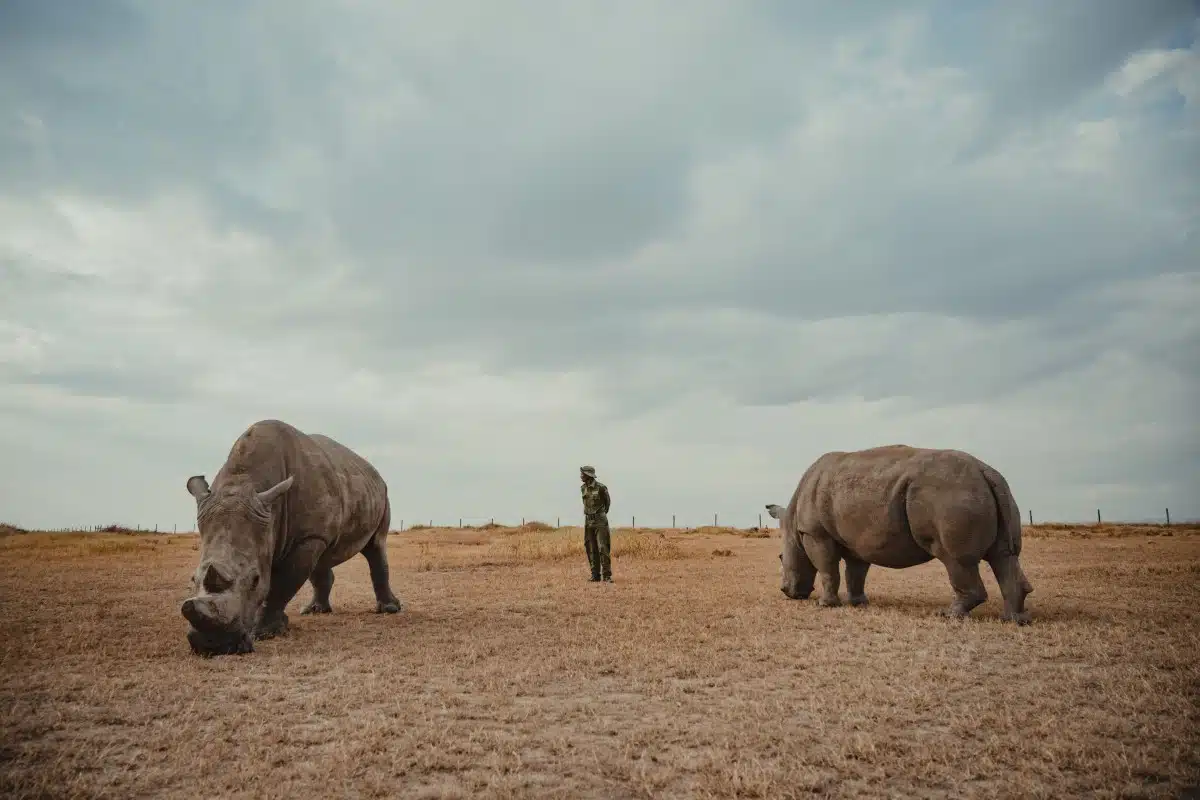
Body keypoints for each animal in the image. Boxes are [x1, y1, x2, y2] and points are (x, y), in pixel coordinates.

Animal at [180, 419, 400, 657]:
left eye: (255, 580)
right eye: (193, 579)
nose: (214, 646)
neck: (245, 480)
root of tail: (372, 470)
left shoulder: (308, 537)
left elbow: (282, 584)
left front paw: (264, 632)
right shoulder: (305, 534)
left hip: (382, 492)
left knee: (376, 545)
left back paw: (389, 609)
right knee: (322, 559)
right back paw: (315, 611)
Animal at [768, 443, 1032, 623]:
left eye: (781, 558)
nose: (787, 592)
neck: (792, 522)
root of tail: (985, 471)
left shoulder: (815, 534)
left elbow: (827, 568)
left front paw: (826, 605)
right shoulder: (857, 540)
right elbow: (856, 572)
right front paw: (858, 604)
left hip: (950, 495)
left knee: (954, 559)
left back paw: (948, 615)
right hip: (990, 491)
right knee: (1004, 556)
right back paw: (1014, 620)